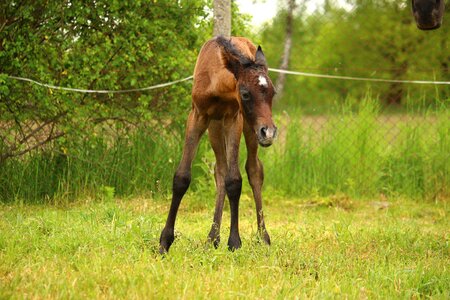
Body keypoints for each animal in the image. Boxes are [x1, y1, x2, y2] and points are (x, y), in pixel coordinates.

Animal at [160, 36, 276, 254]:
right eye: (245, 94)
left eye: (273, 93)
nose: (270, 132)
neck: (216, 84)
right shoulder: (198, 116)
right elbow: (182, 177)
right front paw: (165, 242)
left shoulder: (234, 118)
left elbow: (235, 180)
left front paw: (235, 242)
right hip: (215, 127)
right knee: (220, 170)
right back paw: (212, 238)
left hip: (249, 128)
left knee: (254, 170)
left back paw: (263, 237)